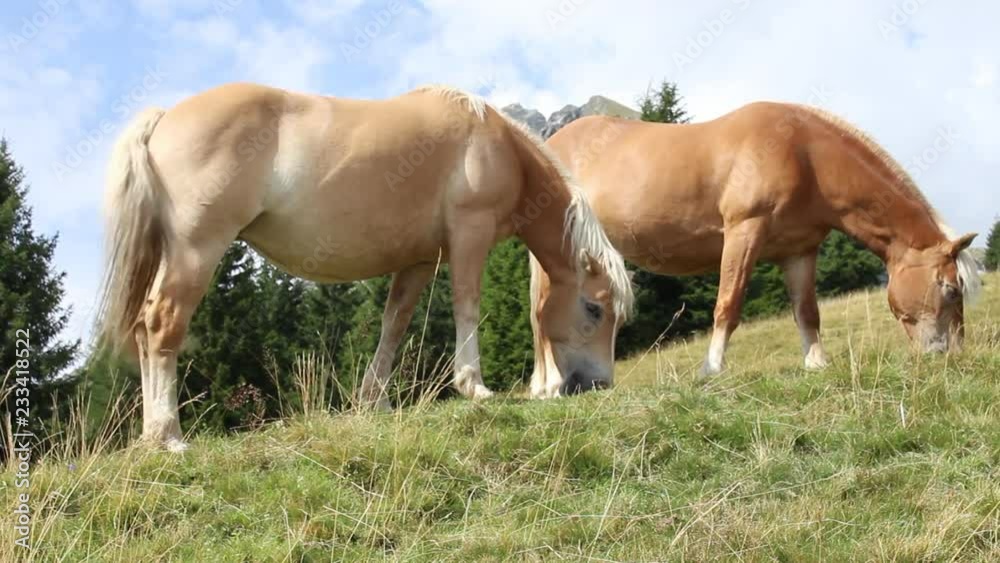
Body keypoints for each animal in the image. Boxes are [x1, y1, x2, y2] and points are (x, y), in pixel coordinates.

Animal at [96, 82, 633, 451]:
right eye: (594, 310)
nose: (599, 385)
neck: (495, 143)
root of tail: (164, 117)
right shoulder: (469, 235)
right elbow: (467, 305)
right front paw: (474, 387)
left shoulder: (420, 259)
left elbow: (393, 323)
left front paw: (374, 399)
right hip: (196, 249)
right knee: (162, 325)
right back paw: (169, 436)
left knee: (143, 327)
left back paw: (150, 436)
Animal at [530, 101, 980, 385]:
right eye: (950, 288)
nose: (952, 354)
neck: (803, 154)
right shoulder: (744, 231)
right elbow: (728, 304)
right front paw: (711, 369)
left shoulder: (799, 252)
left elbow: (807, 312)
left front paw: (816, 363)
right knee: (541, 313)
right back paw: (545, 385)